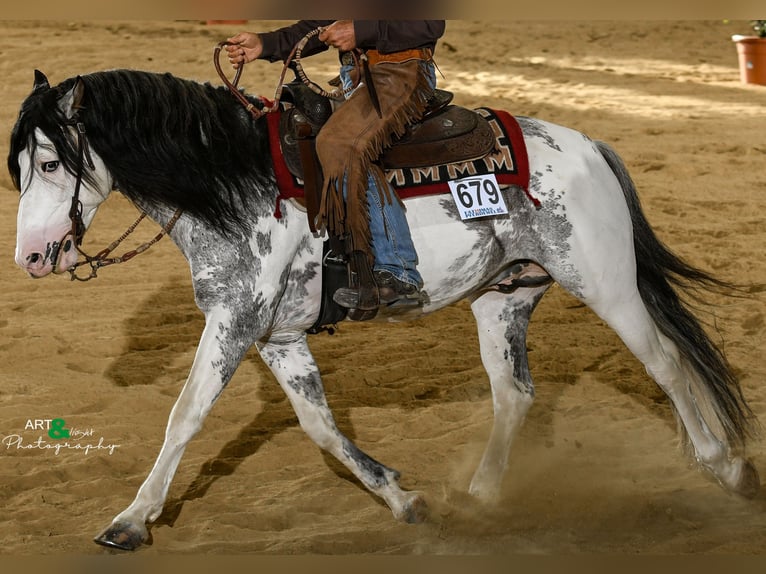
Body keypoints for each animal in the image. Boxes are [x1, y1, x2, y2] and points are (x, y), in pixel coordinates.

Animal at [7, 70, 760, 552]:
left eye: (50, 164)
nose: (32, 257)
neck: (237, 184)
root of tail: (589, 148)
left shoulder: (234, 323)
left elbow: (185, 414)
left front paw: (131, 520)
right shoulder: (276, 336)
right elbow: (319, 425)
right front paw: (403, 498)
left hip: (606, 282)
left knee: (665, 363)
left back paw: (726, 467)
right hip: (504, 298)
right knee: (515, 393)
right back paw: (479, 496)